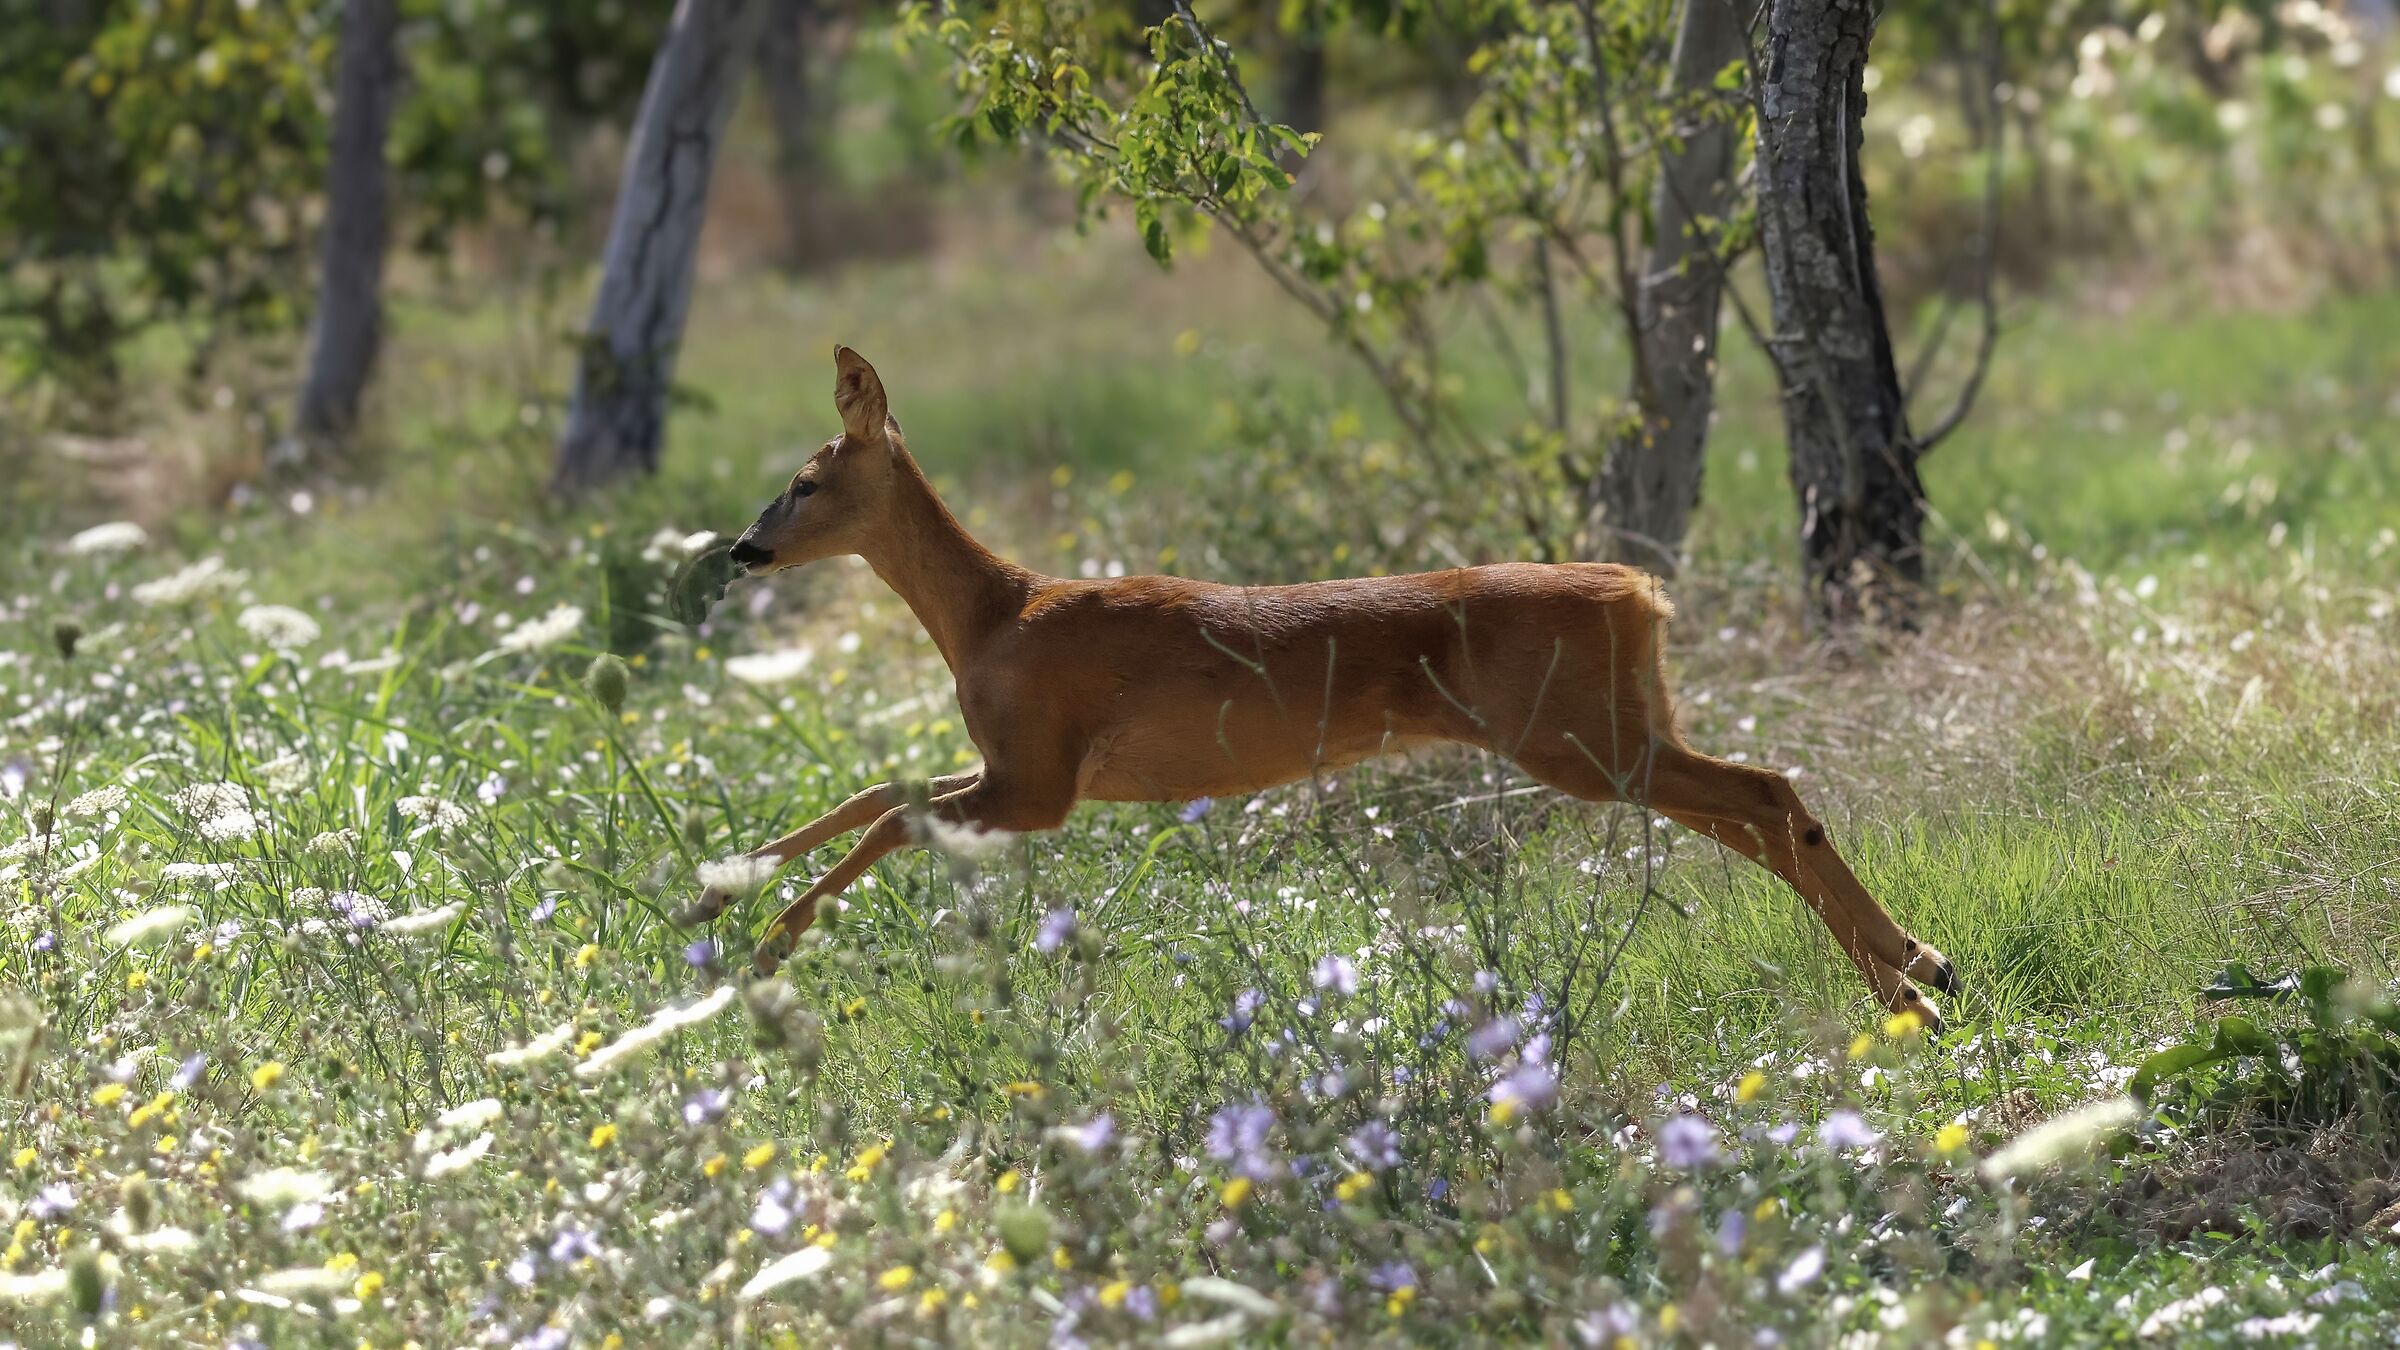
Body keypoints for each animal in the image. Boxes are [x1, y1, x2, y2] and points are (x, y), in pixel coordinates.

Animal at [703, 347, 1959, 1027]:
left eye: (805, 480)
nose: (742, 551)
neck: (992, 617)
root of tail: (1639, 589)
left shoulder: (1042, 781)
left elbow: (893, 813)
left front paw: (765, 940)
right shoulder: (1018, 767)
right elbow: (880, 792)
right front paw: (720, 886)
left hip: (1575, 736)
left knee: (1761, 793)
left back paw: (1912, 984)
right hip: (1613, 726)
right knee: (1760, 804)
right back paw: (1920, 973)